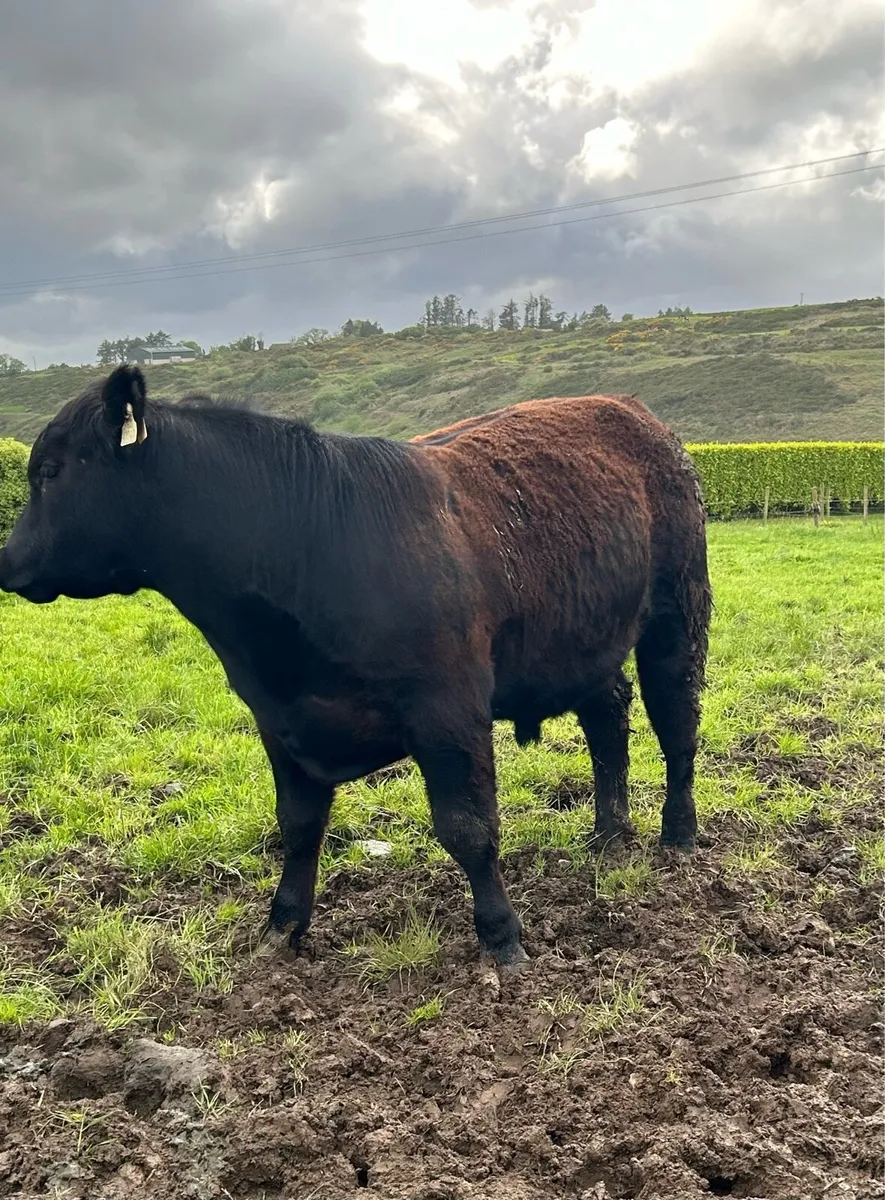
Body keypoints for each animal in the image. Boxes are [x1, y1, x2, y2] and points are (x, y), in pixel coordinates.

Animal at [0, 365, 711, 973]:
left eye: (52, 471)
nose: (8, 564)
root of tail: (627, 407)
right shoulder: (280, 718)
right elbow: (298, 825)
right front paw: (281, 927)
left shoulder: (450, 707)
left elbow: (469, 827)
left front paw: (502, 938)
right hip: (585, 641)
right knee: (608, 714)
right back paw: (609, 834)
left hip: (677, 613)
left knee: (677, 723)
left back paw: (677, 835)